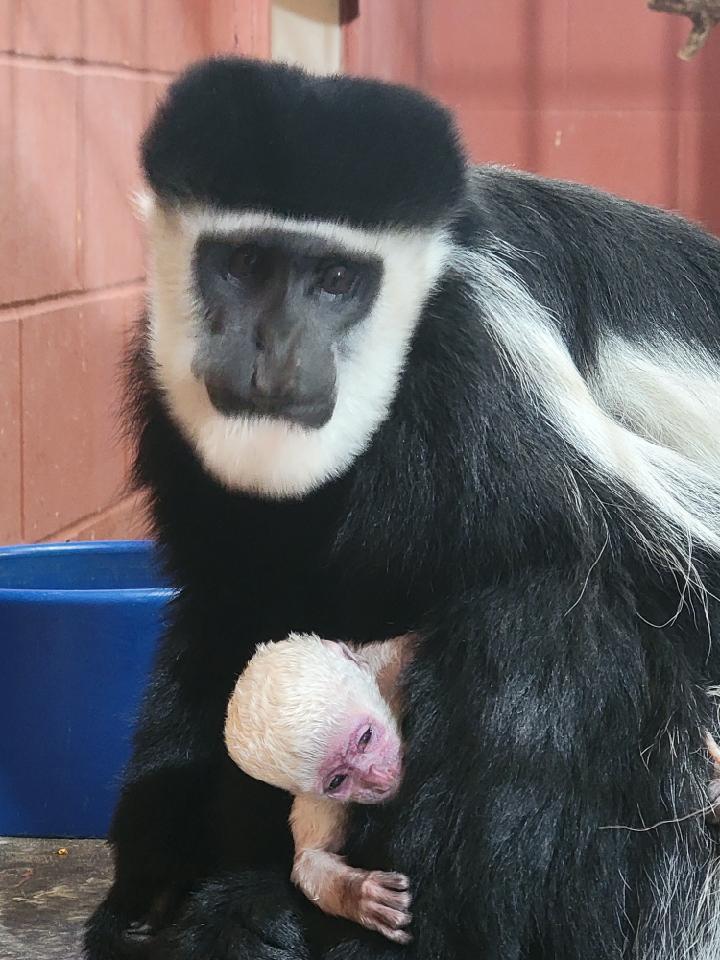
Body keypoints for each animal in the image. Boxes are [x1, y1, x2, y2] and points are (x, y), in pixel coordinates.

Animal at [224, 633, 414, 944]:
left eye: (365, 738)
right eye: (338, 780)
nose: (378, 778)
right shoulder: (319, 798)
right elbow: (309, 858)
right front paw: (359, 895)